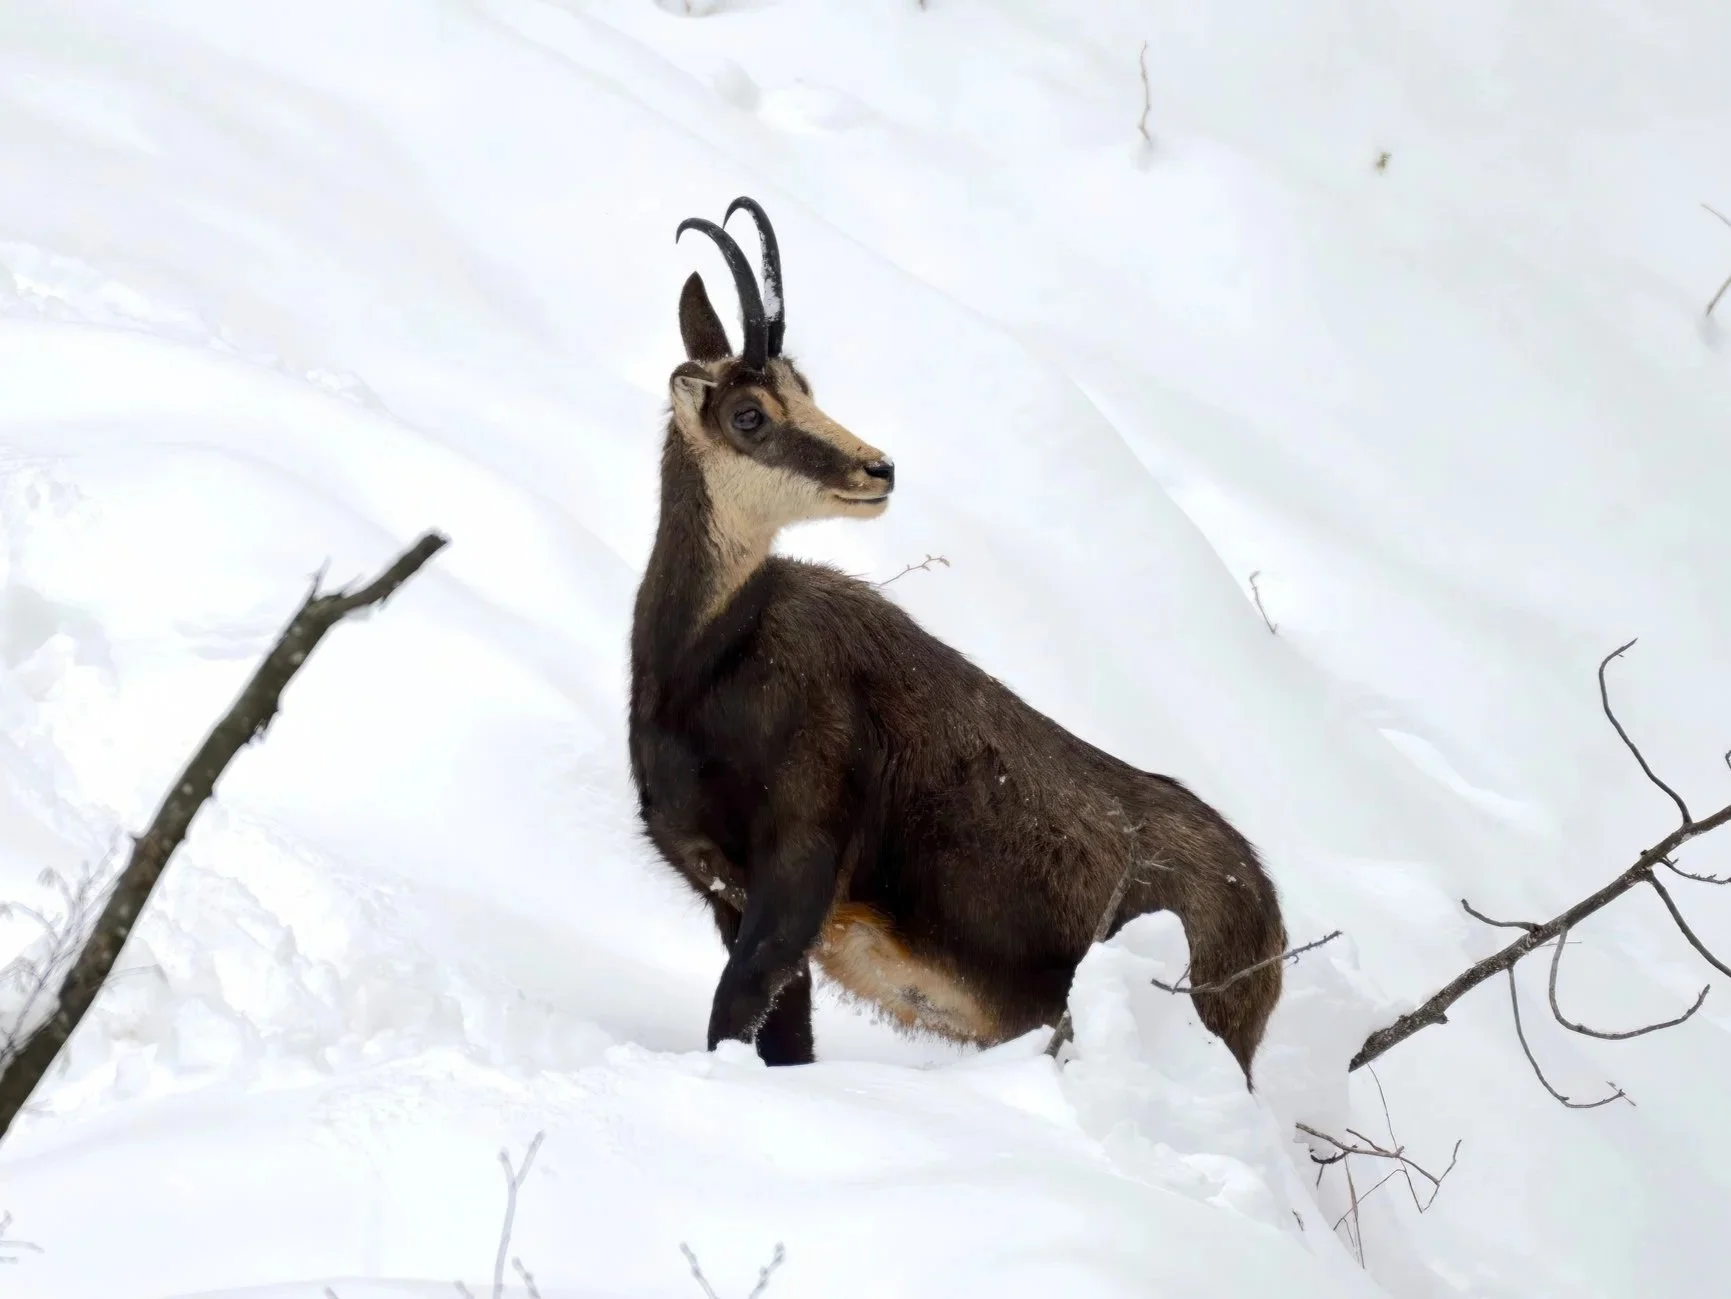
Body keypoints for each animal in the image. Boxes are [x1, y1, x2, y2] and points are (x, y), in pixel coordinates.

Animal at [628, 197, 1288, 1083]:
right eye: (749, 415)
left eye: (805, 387)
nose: (877, 470)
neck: (707, 664)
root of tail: (1272, 929)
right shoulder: (725, 892)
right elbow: (785, 1041)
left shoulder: (799, 867)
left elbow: (738, 1014)